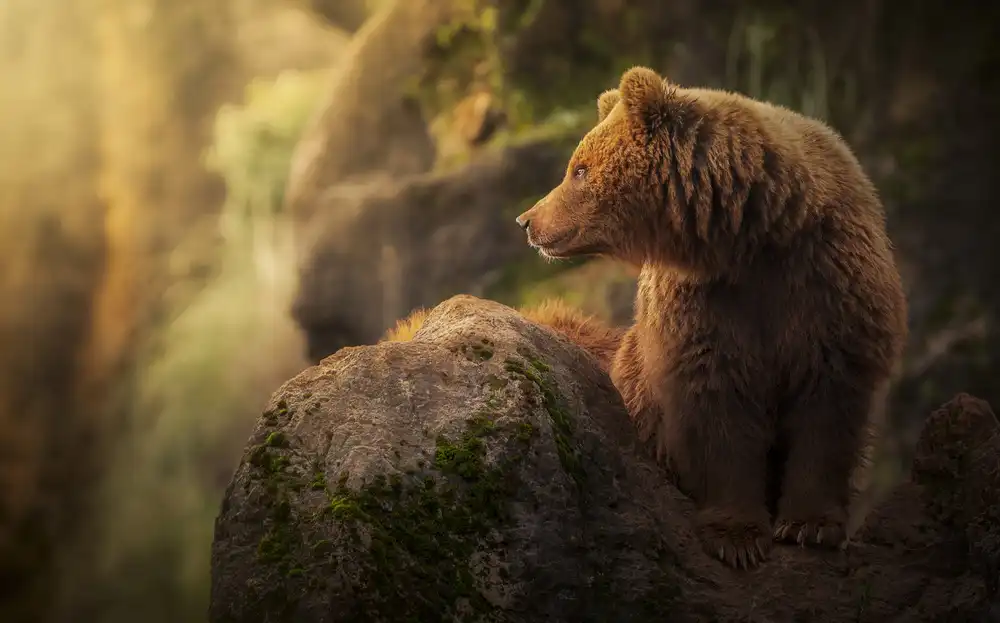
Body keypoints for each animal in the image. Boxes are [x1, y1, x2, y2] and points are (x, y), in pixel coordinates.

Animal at [513, 66, 908, 570]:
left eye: (579, 169)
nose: (528, 221)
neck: (752, 234)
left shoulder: (828, 283)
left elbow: (828, 408)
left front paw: (809, 525)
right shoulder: (704, 307)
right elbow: (716, 405)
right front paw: (736, 536)